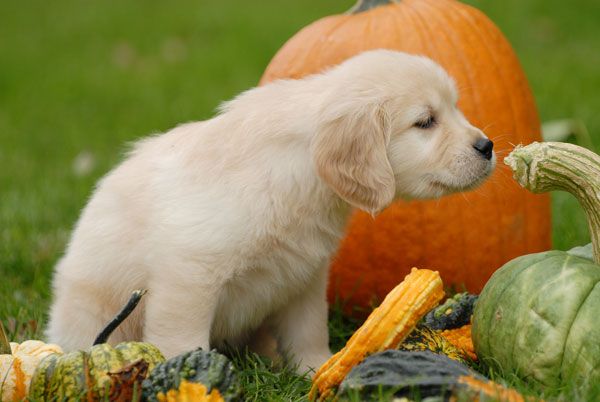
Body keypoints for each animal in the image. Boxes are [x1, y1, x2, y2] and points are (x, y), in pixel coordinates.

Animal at [47, 50, 494, 374]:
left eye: (455, 108)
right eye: (425, 122)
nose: (487, 146)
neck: (300, 174)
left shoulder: (305, 277)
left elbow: (308, 330)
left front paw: (316, 370)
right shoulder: (189, 276)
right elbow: (182, 338)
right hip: (97, 314)